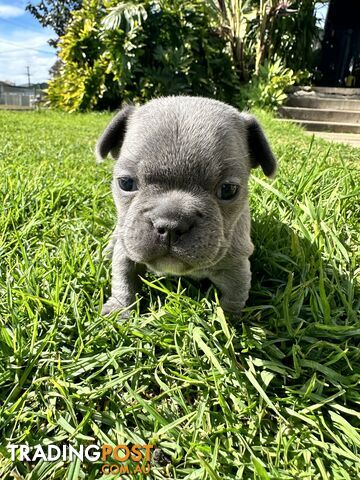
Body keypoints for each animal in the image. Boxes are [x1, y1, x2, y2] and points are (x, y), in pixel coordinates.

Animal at [95, 95, 276, 316]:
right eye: (126, 183)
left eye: (228, 190)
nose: (171, 225)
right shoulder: (127, 250)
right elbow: (124, 280)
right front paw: (119, 311)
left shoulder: (236, 264)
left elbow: (234, 297)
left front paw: (229, 321)